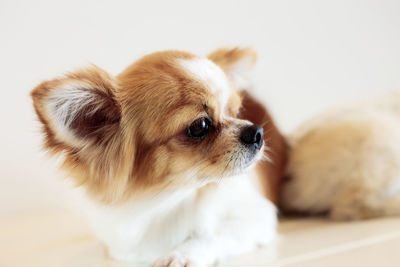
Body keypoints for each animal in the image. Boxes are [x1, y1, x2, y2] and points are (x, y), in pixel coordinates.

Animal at [31, 48, 288, 267]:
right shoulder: (120, 248)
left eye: (238, 112)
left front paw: (181, 255)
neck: (168, 200)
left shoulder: (258, 215)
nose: (256, 132)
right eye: (200, 126)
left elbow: (210, 234)